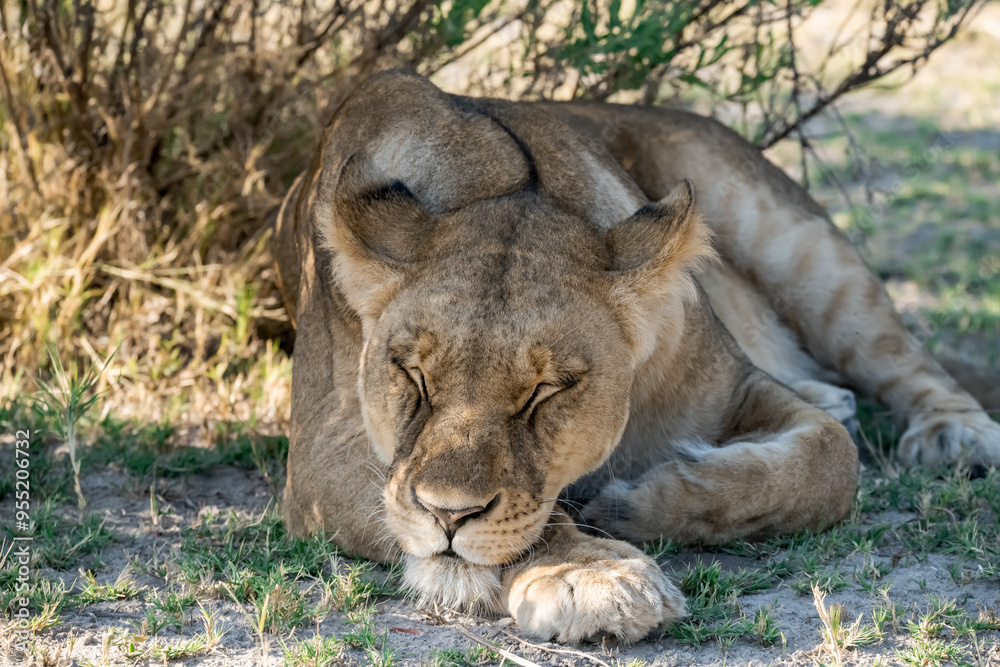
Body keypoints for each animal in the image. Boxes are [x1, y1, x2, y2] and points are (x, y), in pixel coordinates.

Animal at [270, 71, 1000, 643]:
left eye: (548, 391)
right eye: (413, 376)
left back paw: (954, 433)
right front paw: (593, 574)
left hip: (797, 244)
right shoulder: (320, 462)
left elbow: (827, 464)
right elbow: (524, 521)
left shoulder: (735, 388)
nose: (448, 516)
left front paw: (637, 501)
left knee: (904, 355)